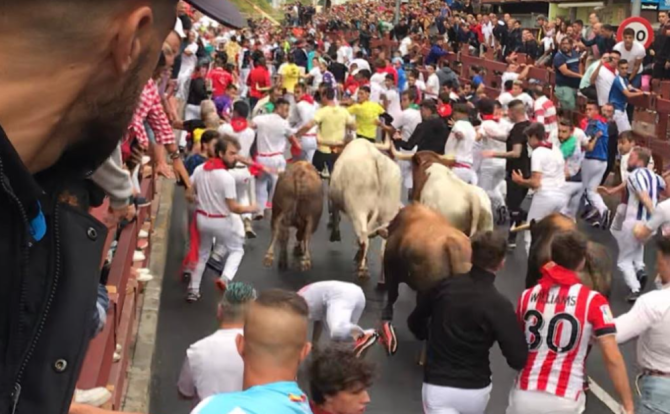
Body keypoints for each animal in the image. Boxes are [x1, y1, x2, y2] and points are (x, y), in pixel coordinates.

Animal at [328, 138, 402, 278]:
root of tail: (375, 159)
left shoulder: (334, 199)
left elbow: (334, 215)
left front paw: (335, 236)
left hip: (358, 210)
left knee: (363, 236)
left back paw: (362, 267)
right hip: (388, 212)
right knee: (383, 244)